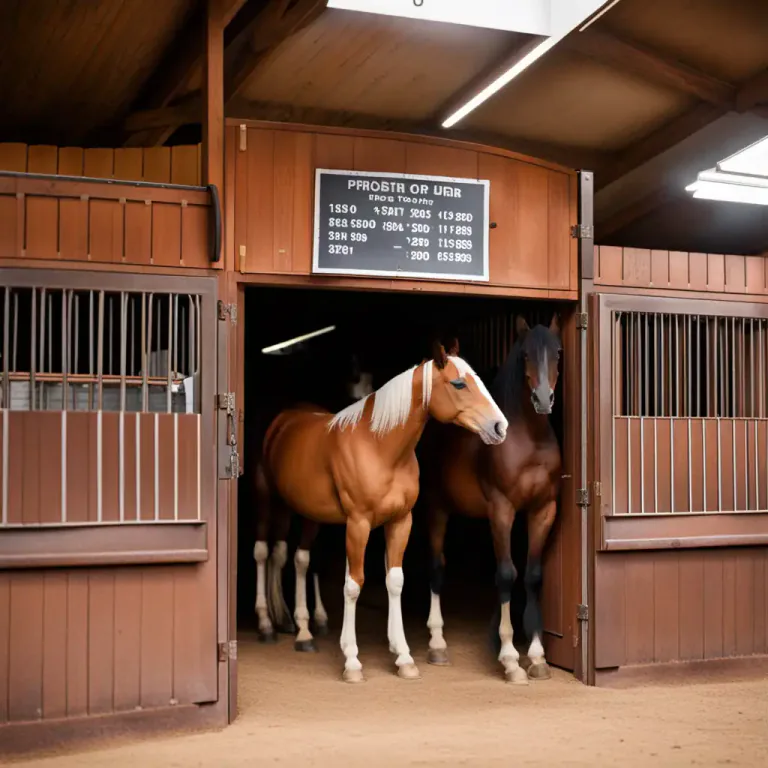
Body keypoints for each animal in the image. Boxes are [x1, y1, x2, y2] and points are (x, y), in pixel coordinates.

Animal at [255, 342, 508, 682]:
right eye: (458, 384)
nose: (500, 427)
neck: (379, 447)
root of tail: (283, 419)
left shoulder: (401, 521)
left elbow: (394, 580)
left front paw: (403, 656)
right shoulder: (358, 523)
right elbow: (353, 584)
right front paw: (352, 661)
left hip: (305, 513)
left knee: (295, 558)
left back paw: (301, 629)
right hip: (267, 500)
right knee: (263, 552)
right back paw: (267, 624)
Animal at [420, 315, 562, 684]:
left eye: (558, 352)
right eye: (525, 355)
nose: (543, 399)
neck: (529, 440)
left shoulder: (543, 510)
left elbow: (532, 574)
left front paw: (537, 657)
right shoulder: (501, 510)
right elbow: (507, 574)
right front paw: (510, 659)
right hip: (436, 508)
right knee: (436, 568)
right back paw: (437, 645)